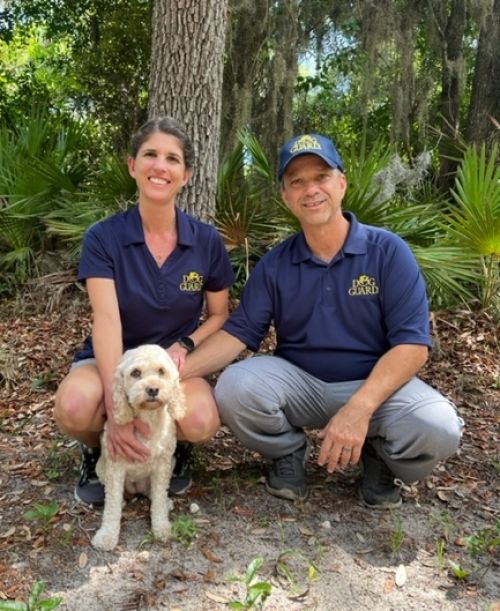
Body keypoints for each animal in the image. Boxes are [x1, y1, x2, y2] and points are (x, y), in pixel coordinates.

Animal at [91, 346, 187, 552]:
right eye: (135, 373)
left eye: (161, 371)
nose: (152, 389)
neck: (148, 419)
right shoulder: (115, 467)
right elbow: (111, 506)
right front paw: (107, 535)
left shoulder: (162, 465)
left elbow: (158, 499)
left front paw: (161, 527)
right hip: (101, 468)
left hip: (171, 463)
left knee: (156, 493)